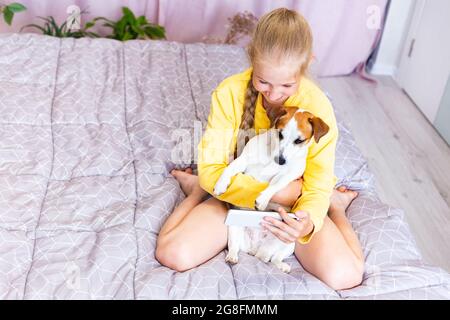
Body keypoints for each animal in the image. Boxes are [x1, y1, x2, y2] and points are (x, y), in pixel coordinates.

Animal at [213, 106, 328, 272]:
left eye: (299, 141)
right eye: (280, 134)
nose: (280, 160)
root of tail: (255, 249)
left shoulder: (288, 175)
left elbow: (276, 184)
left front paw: (263, 198)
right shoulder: (243, 160)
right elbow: (230, 169)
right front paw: (221, 184)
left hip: (289, 242)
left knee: (272, 258)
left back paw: (281, 265)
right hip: (233, 226)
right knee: (235, 247)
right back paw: (232, 257)